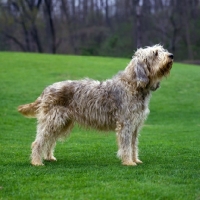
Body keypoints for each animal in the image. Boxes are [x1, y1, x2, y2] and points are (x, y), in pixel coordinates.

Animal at [17, 44, 173, 166]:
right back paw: (37, 162)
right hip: (53, 121)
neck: (134, 85)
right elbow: (126, 145)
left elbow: (133, 145)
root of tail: (47, 89)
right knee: (38, 142)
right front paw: (129, 162)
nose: (171, 55)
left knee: (49, 141)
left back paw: (49, 157)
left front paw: (136, 160)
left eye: (162, 50)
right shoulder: (126, 124)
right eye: (155, 53)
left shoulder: (135, 125)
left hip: (61, 123)